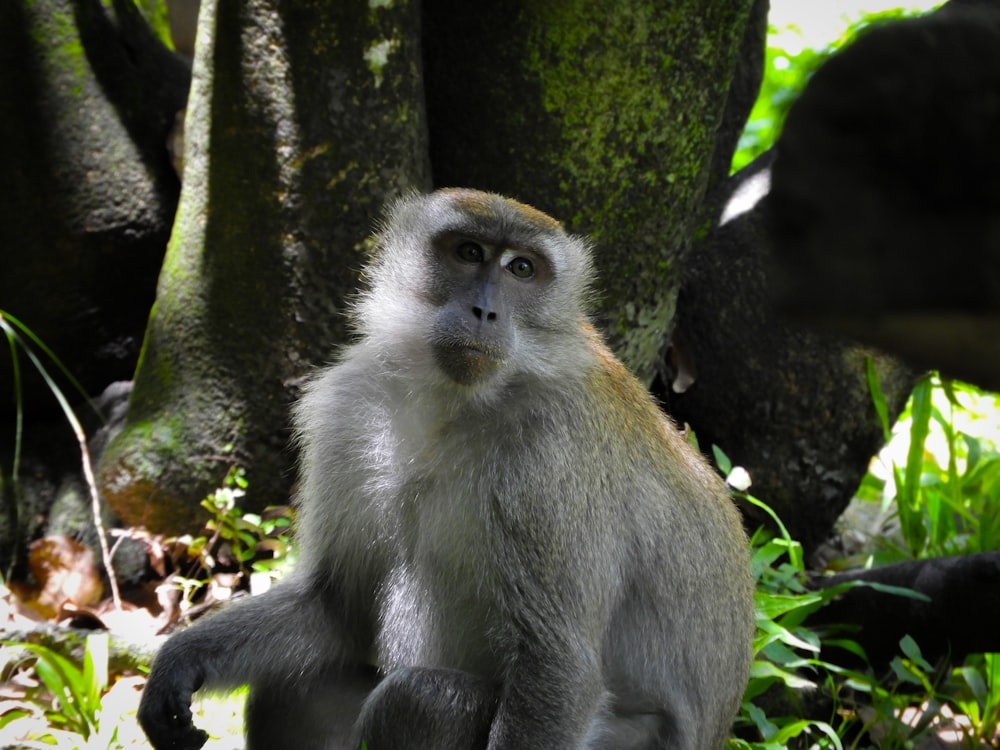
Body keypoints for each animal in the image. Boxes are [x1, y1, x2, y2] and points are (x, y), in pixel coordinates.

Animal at [137, 189, 752, 750]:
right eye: (469, 251)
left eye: (522, 268)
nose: (485, 310)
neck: (455, 403)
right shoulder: (351, 409)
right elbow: (338, 606)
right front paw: (181, 659)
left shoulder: (552, 454)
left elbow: (557, 666)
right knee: (292, 688)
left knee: (420, 700)